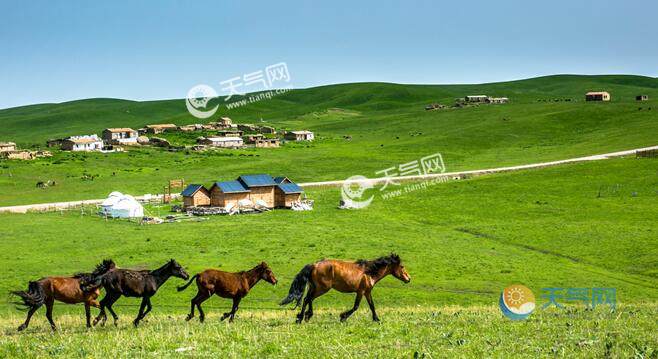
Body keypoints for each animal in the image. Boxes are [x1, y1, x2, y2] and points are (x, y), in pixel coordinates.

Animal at [278, 255, 410, 324]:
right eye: (402, 266)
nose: (409, 279)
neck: (369, 272)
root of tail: (314, 265)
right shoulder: (361, 291)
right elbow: (356, 306)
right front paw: (343, 317)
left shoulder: (367, 292)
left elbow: (372, 306)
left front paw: (376, 319)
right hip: (322, 288)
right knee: (307, 299)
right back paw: (302, 317)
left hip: (315, 287)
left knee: (307, 299)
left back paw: (304, 316)